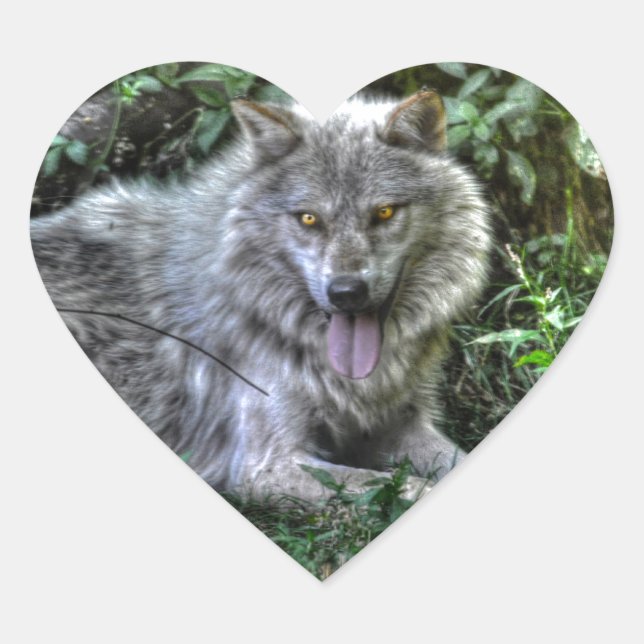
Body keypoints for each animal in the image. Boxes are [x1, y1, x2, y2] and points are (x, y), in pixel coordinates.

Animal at [31, 89, 491, 503]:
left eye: (384, 212)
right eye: (309, 218)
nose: (345, 293)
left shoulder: (403, 426)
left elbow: (455, 458)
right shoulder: (267, 465)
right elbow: (395, 487)